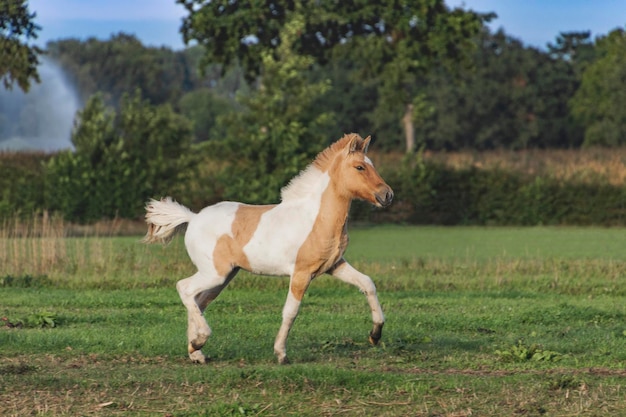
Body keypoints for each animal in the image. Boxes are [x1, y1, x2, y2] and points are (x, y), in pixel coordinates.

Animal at [144, 132, 392, 360]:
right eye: (359, 167)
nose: (387, 195)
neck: (315, 217)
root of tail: (193, 218)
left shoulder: (334, 265)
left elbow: (367, 284)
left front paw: (375, 335)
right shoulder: (301, 273)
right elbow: (291, 311)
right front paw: (281, 353)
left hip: (224, 276)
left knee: (198, 300)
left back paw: (196, 352)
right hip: (214, 273)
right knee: (185, 288)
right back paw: (200, 340)